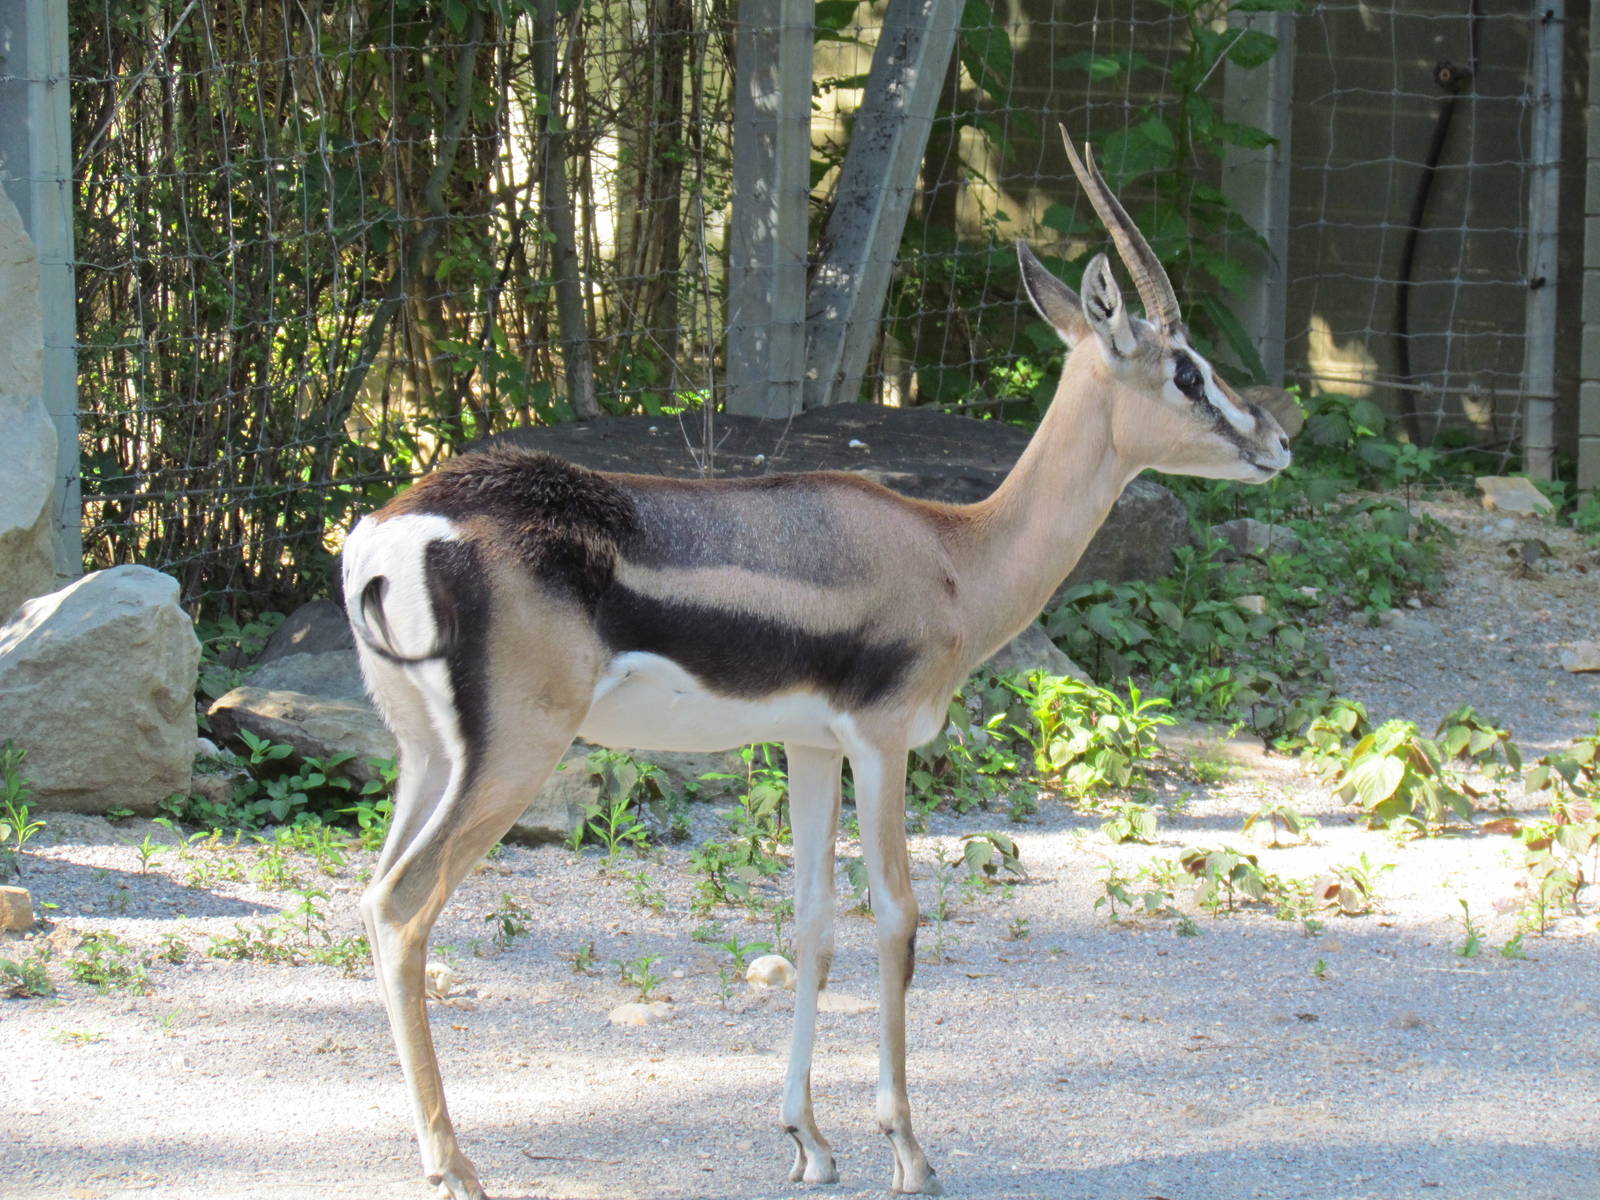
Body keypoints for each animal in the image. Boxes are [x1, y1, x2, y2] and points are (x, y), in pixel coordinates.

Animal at [341, 129, 1292, 1200]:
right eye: (1186, 372)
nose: (1276, 441)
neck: (955, 553)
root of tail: (393, 531)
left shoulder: (808, 748)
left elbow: (811, 922)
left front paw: (809, 1139)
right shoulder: (883, 743)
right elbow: (895, 918)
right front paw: (908, 1150)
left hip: (428, 759)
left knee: (374, 902)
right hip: (515, 757)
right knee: (404, 908)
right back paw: (452, 1163)